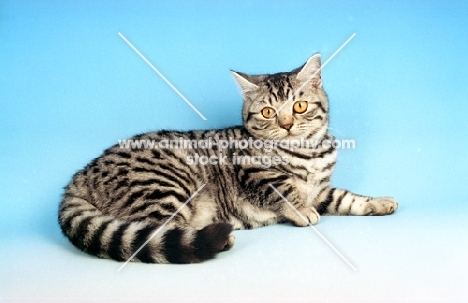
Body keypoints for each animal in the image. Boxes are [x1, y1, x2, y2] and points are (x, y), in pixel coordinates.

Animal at [56, 54, 396, 264]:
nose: (286, 124)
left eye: (299, 106)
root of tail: (80, 175)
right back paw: (214, 238)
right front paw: (302, 211)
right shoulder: (257, 174)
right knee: (151, 231)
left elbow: (347, 198)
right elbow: (287, 191)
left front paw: (379, 202)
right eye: (268, 112)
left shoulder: (322, 190)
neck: (308, 152)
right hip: (165, 185)